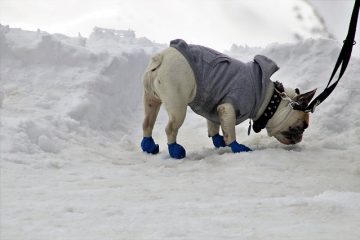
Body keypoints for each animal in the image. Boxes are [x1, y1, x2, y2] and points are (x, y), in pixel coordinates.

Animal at [141, 39, 316, 159]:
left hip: (151, 99)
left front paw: (218, 141)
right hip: (178, 105)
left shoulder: (213, 106)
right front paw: (237, 147)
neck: (269, 100)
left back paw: (149, 146)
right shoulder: (228, 108)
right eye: (301, 127)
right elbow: (230, 131)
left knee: (147, 123)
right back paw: (175, 151)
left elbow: (214, 126)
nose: (300, 138)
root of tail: (161, 57)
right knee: (170, 128)